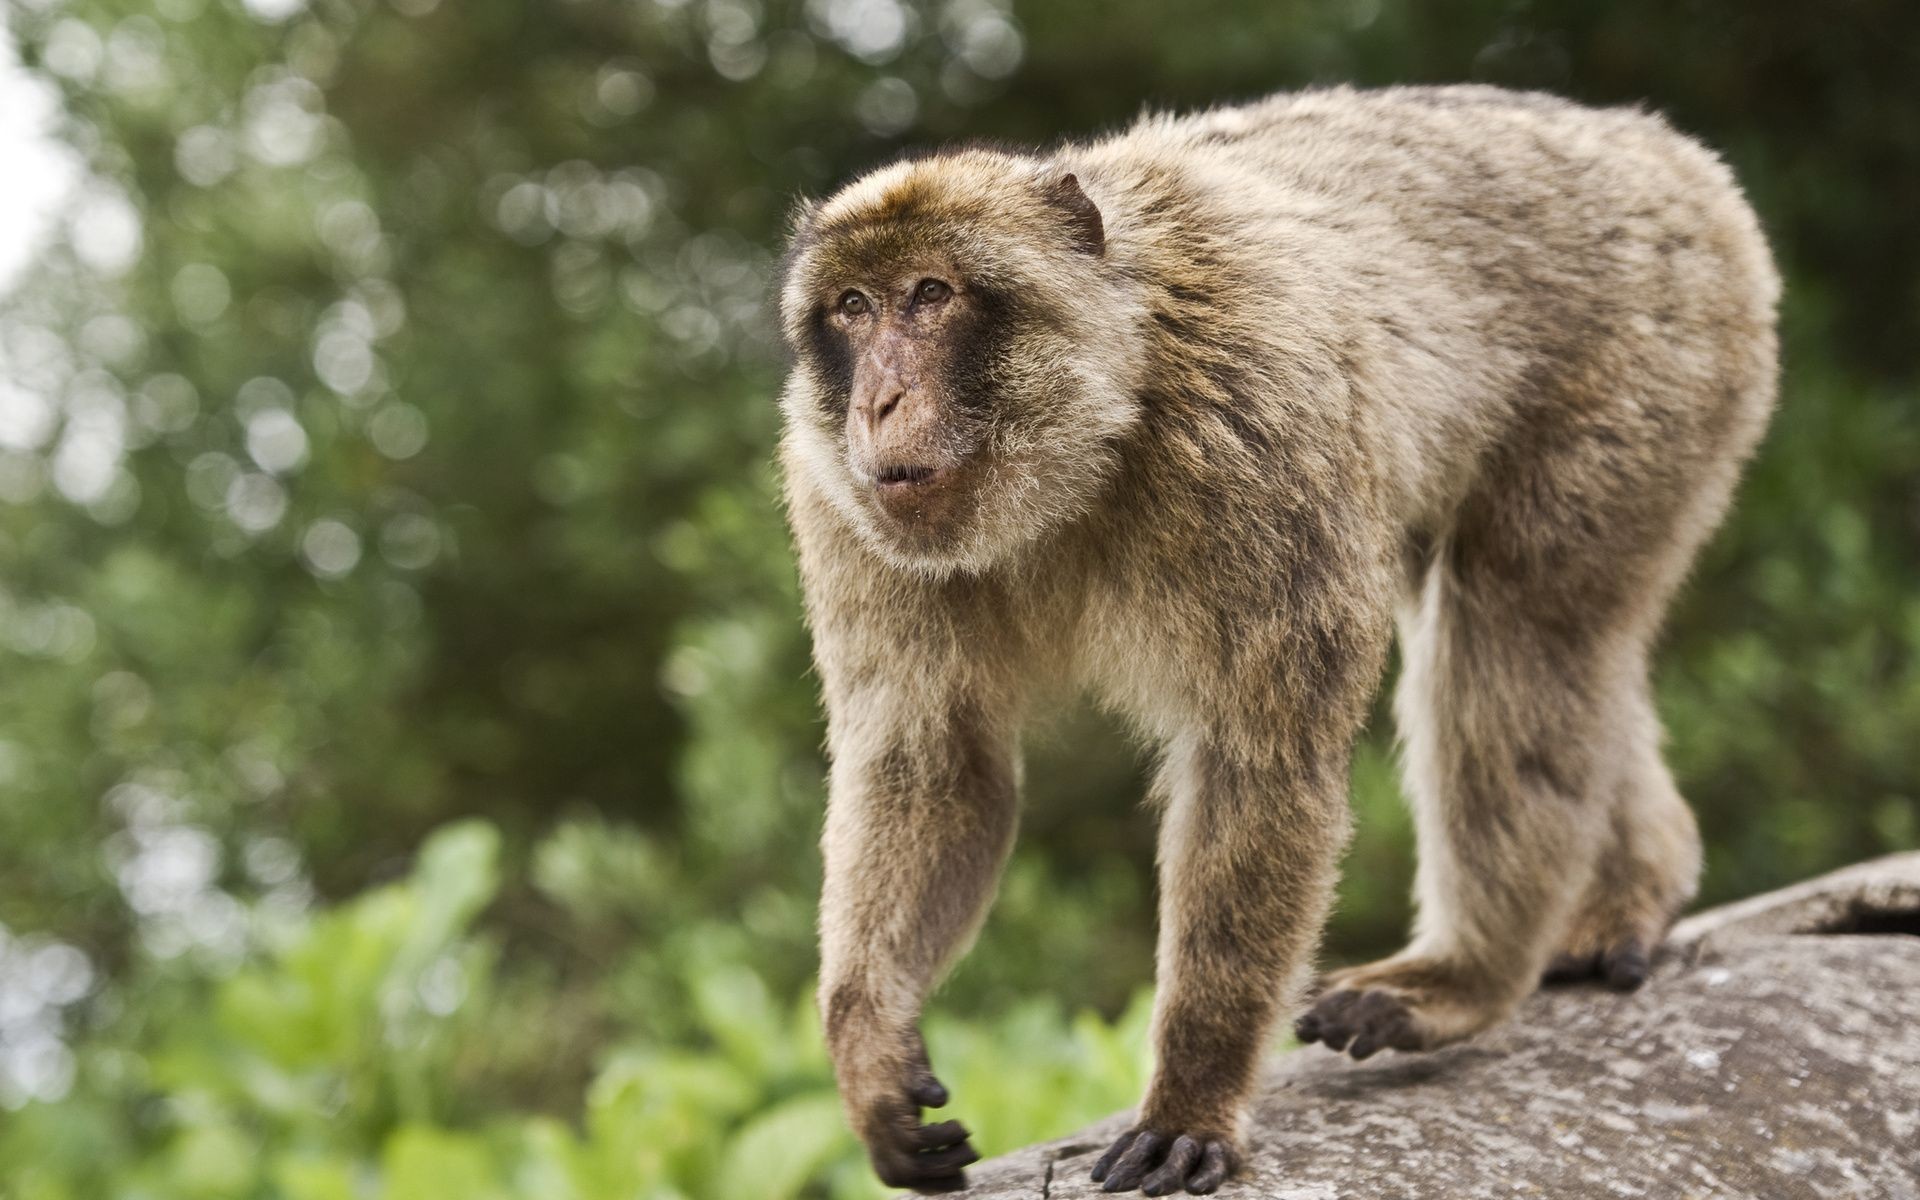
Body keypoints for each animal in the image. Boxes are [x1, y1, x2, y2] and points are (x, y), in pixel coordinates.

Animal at [771, 82, 1774, 1190]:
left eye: (930, 294)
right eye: (853, 309)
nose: (877, 401)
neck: (1105, 408)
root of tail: (1654, 143)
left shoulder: (1260, 431)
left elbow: (1261, 761)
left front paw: (1193, 1097)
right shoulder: (839, 502)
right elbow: (935, 765)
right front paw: (870, 1053)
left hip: (1661, 355)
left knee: (1522, 620)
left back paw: (1469, 975)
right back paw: (1636, 892)